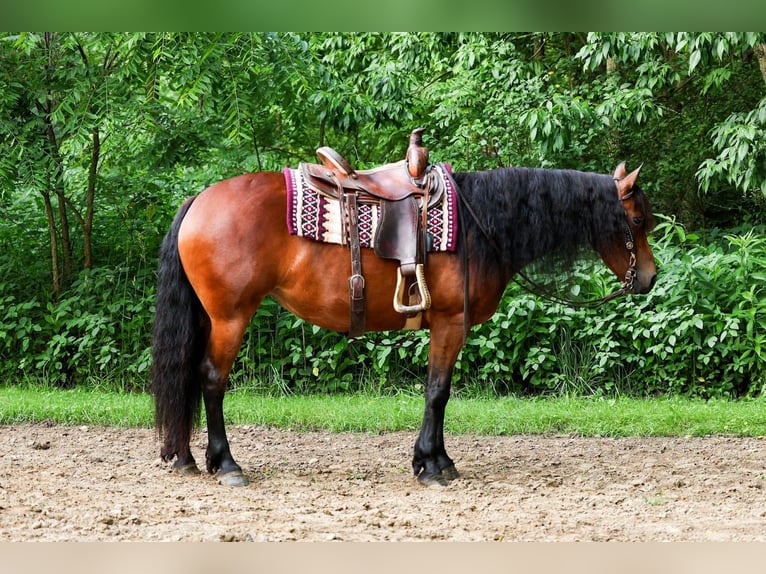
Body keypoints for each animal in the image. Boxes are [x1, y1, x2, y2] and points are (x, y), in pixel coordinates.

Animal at [151, 160, 657, 487]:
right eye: (636, 219)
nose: (649, 278)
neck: (480, 225)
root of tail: (199, 200)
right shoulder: (451, 323)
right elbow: (438, 391)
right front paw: (431, 467)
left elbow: (437, 392)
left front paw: (437, 460)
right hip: (229, 318)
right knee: (211, 380)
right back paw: (226, 464)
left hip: (210, 318)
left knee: (190, 378)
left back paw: (186, 459)